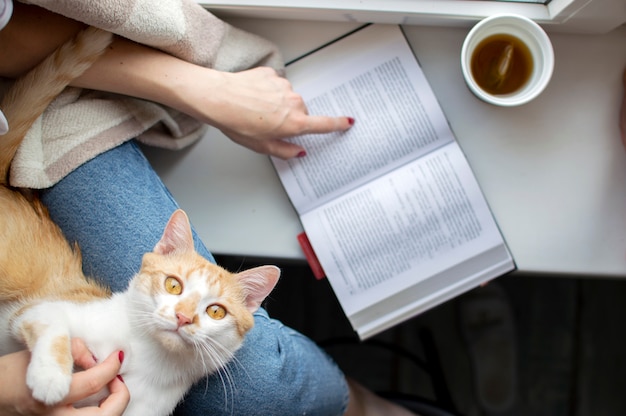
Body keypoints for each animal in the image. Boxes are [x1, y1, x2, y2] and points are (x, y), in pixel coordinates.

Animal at [0, 25, 280, 412]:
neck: (143, 358)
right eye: (174, 285)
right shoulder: (35, 310)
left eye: (216, 312)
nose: (183, 317)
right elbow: (50, 321)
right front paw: (50, 378)